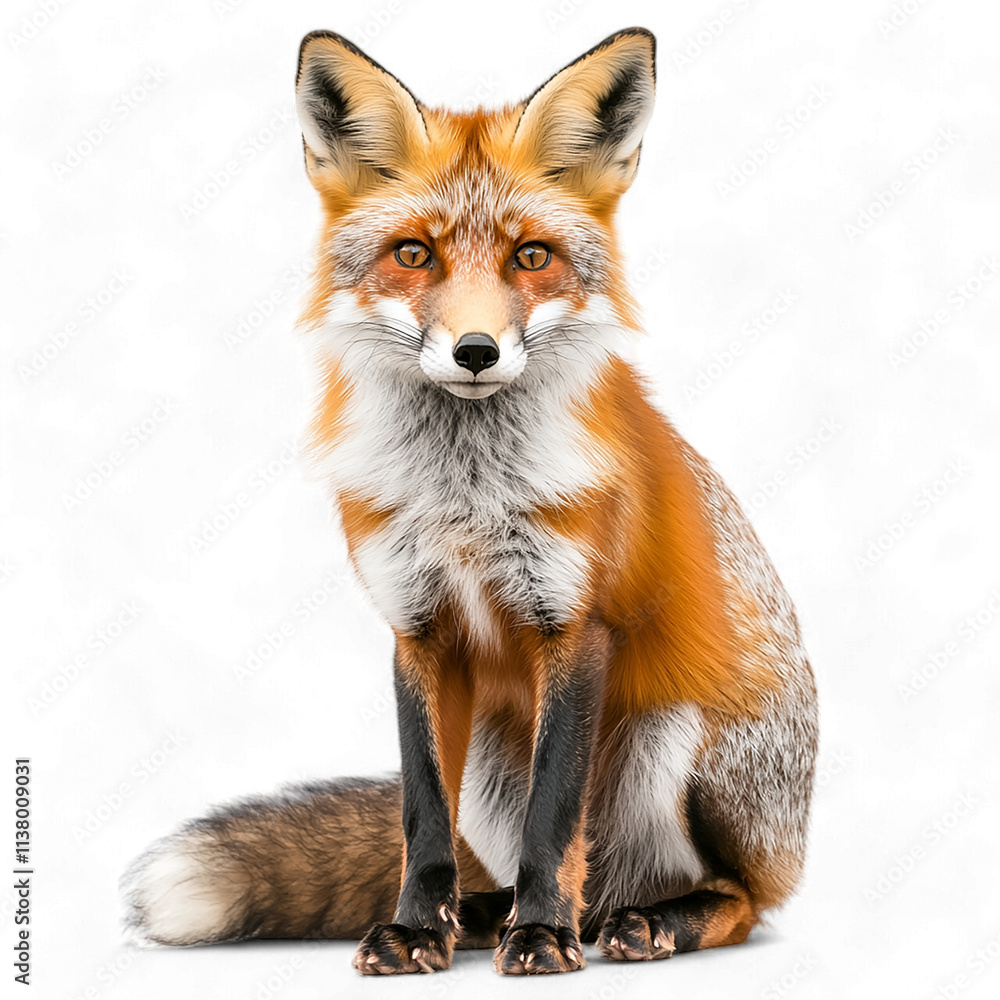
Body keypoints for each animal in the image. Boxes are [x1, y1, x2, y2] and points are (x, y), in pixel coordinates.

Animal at [121, 26, 818, 977]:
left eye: (532, 256)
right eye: (415, 254)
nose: (477, 351)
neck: (466, 500)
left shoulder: (576, 624)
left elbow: (554, 818)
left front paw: (542, 937)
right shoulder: (416, 627)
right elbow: (422, 815)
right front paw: (419, 928)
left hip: (680, 746)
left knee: (736, 898)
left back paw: (636, 922)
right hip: (492, 758)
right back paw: (485, 916)